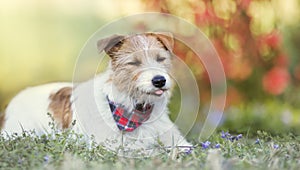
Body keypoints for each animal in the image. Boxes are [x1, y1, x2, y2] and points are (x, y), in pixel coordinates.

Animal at [1, 32, 191, 154]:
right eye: (134, 63)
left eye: (160, 59)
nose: (159, 80)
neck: (136, 109)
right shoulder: (116, 147)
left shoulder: (178, 141)